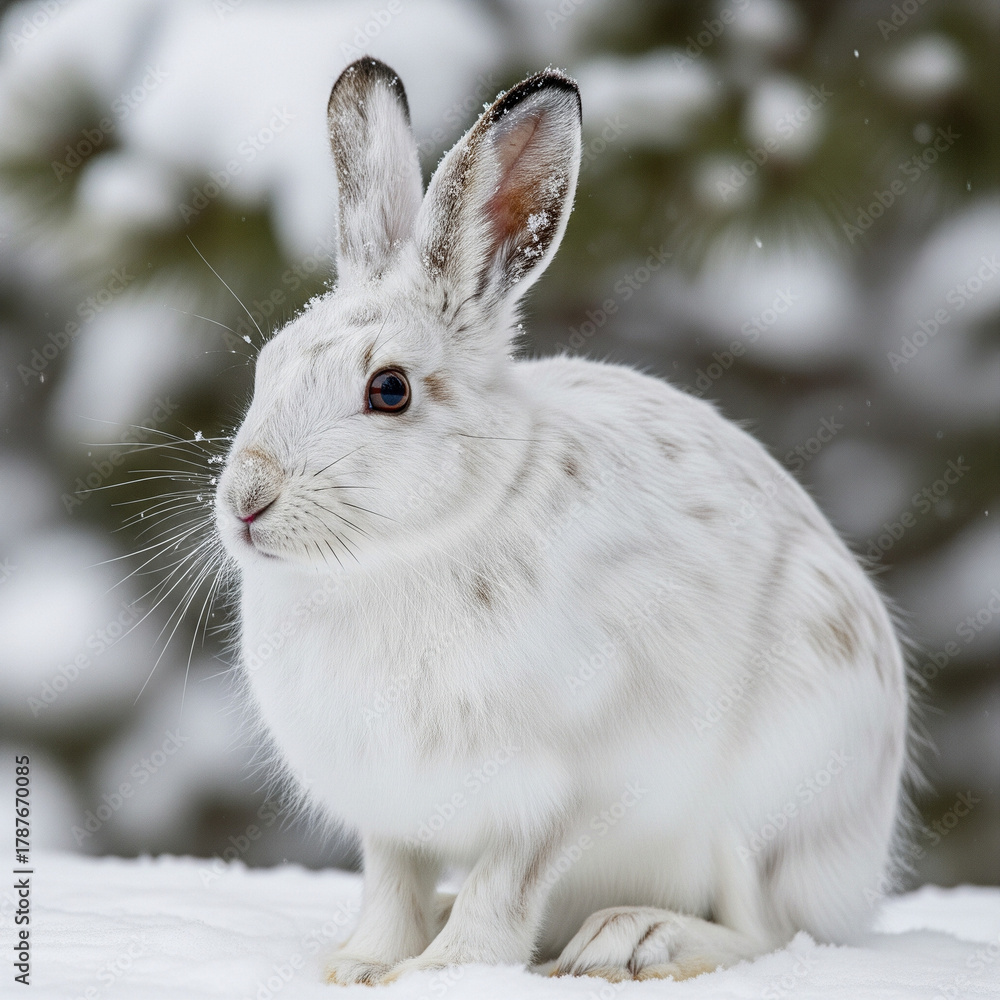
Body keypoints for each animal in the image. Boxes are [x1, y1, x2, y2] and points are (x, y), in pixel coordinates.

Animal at [213, 56, 911, 985]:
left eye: (389, 390)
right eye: (268, 366)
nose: (245, 501)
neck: (397, 556)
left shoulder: (562, 793)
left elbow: (505, 886)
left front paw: (445, 970)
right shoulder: (389, 809)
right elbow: (393, 884)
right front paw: (363, 965)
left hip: (769, 801)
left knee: (768, 928)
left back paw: (635, 940)